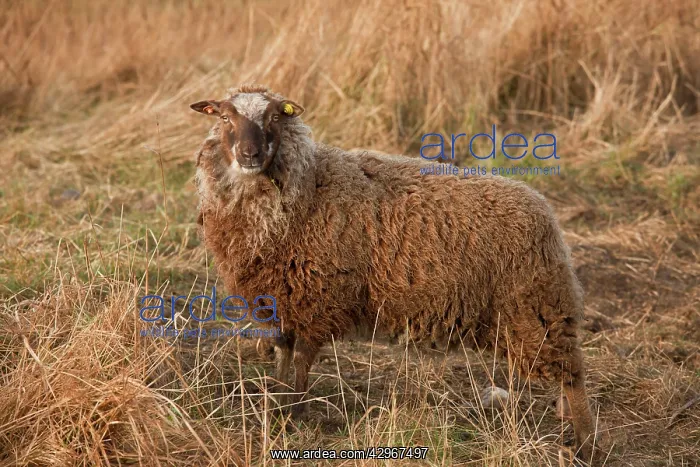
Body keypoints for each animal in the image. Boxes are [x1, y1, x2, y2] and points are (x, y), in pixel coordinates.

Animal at [189, 84, 597, 461]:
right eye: (224, 117)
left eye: (275, 117)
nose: (250, 154)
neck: (306, 189)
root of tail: (545, 212)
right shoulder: (280, 299)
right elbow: (282, 354)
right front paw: (276, 401)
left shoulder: (317, 299)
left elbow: (302, 359)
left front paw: (294, 411)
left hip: (538, 307)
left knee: (572, 374)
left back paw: (586, 442)